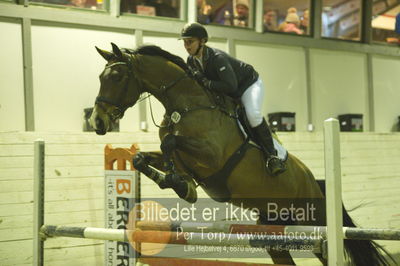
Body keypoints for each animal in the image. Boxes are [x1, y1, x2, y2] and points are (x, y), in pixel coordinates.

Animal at [90, 42, 390, 264]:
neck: (187, 104)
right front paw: (179, 184)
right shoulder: (180, 157)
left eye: (117, 77)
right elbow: (143, 157)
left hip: (316, 225)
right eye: (100, 77)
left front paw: (182, 185)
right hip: (275, 233)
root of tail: (314, 181)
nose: (97, 122)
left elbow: (171, 143)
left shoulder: (211, 155)